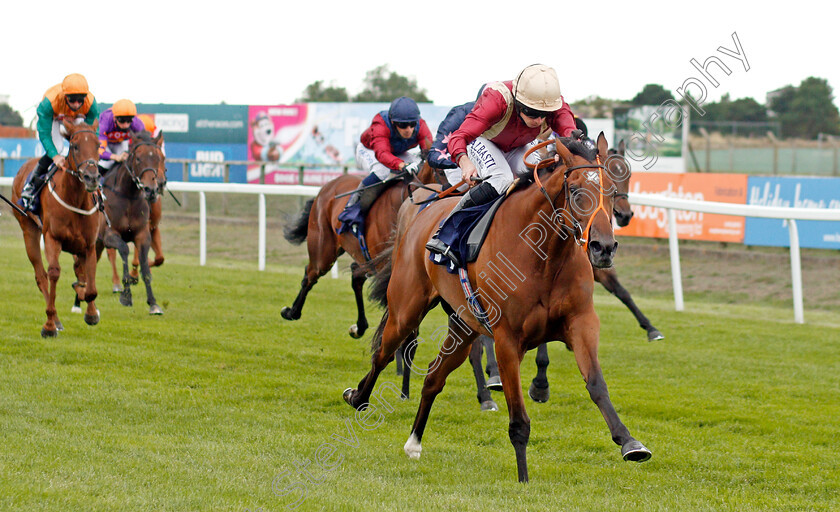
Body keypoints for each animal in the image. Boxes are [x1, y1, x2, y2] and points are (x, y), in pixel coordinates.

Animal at [10, 118, 102, 338]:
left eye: (98, 146)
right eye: (75, 146)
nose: (92, 178)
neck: (76, 199)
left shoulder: (89, 244)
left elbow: (90, 283)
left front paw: (91, 313)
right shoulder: (52, 238)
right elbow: (53, 273)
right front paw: (49, 325)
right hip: (28, 229)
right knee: (41, 276)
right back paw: (56, 321)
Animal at [282, 164, 440, 340]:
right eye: (442, 169)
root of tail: (330, 184)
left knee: (355, 274)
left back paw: (359, 326)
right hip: (323, 249)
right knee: (310, 274)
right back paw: (292, 312)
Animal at [344, 134, 652, 482]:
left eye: (611, 190)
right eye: (575, 191)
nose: (604, 247)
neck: (544, 255)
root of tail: (422, 209)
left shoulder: (581, 323)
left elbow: (597, 384)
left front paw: (629, 442)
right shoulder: (507, 339)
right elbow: (518, 416)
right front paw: (523, 477)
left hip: (462, 327)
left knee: (434, 376)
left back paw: (414, 443)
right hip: (406, 310)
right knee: (383, 353)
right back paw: (358, 397)